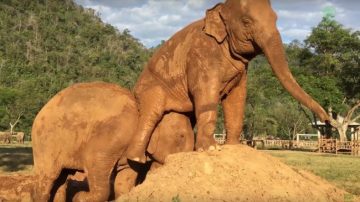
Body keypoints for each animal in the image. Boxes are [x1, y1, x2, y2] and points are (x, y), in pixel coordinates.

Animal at [31, 81, 194, 201]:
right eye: (181, 137)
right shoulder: (111, 136)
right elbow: (95, 168)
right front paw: (79, 197)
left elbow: (125, 181)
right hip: (46, 143)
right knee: (49, 177)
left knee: (61, 180)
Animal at [125, 0, 330, 163]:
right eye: (246, 21)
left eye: (276, 18)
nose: (328, 121)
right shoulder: (202, 53)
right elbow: (206, 92)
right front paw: (211, 149)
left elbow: (237, 96)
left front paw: (234, 146)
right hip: (150, 88)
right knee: (153, 111)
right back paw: (136, 159)